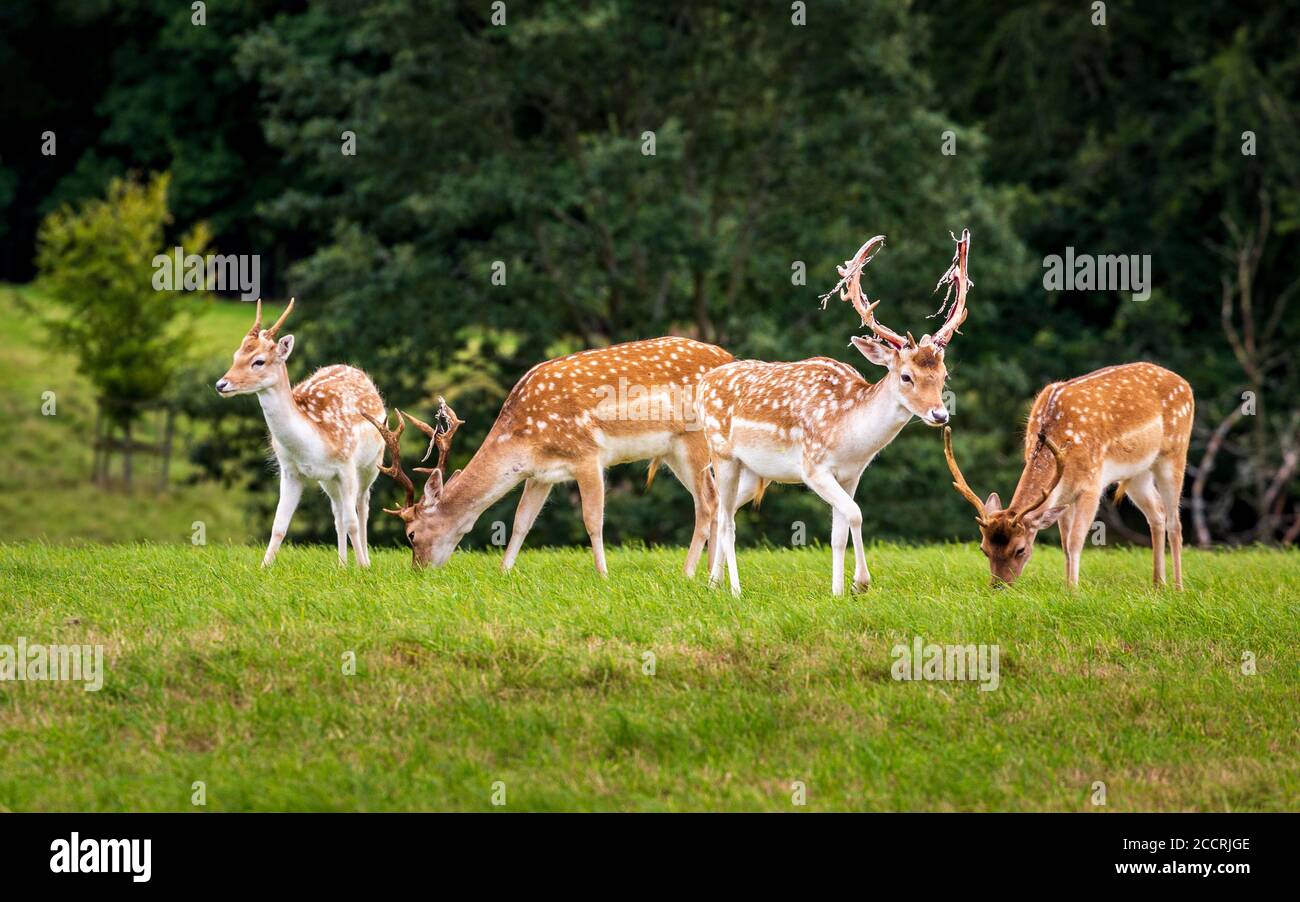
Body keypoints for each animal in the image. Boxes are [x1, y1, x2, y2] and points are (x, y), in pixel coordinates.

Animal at [213, 300, 382, 569]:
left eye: (258, 361)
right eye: (236, 356)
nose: (221, 384)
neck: (312, 443)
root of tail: (355, 369)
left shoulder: (346, 465)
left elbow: (354, 522)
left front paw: (363, 568)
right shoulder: (290, 470)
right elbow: (279, 525)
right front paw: (264, 567)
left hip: (372, 463)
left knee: (362, 505)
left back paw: (363, 560)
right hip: (327, 481)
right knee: (338, 513)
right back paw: (342, 564)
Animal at [366, 335, 738, 577]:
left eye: (411, 535)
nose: (418, 571)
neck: (525, 437)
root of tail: (729, 359)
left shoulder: (587, 454)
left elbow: (592, 519)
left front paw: (602, 575)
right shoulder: (540, 474)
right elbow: (521, 521)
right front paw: (504, 571)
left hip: (692, 438)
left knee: (707, 501)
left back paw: (688, 573)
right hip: (674, 450)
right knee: (717, 500)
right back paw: (712, 575)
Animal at [702, 230, 977, 597]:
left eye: (944, 376)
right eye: (906, 376)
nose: (940, 415)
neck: (849, 437)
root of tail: (704, 383)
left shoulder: (851, 474)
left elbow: (838, 533)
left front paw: (837, 592)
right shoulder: (813, 467)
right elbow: (856, 515)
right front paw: (860, 582)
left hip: (754, 471)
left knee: (722, 510)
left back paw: (713, 582)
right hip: (722, 454)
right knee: (728, 520)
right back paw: (735, 589)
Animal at [941, 363, 1190, 590]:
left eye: (1020, 549)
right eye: (983, 549)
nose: (999, 586)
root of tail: (1185, 383)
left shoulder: (1091, 483)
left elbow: (1075, 540)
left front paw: (1073, 590)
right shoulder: (1062, 494)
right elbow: (1064, 543)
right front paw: (1067, 586)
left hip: (1175, 452)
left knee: (1175, 523)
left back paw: (1178, 588)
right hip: (1137, 472)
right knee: (1156, 512)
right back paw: (1158, 584)